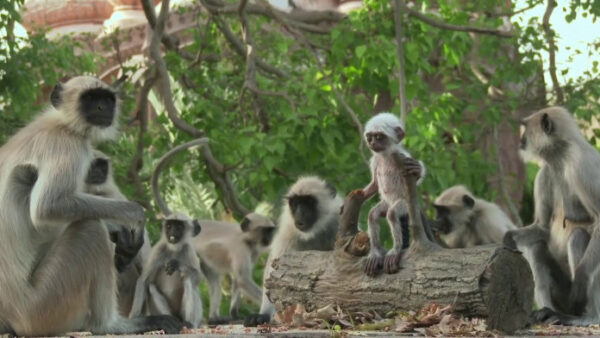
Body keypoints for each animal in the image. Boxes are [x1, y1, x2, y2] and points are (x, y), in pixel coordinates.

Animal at [244, 177, 342, 328]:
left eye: (308, 202)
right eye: (295, 204)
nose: (300, 214)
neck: (313, 233)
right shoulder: (287, 237)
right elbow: (272, 279)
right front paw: (263, 315)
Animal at [360, 112, 426, 276]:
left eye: (379, 137)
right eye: (370, 137)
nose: (372, 143)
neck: (385, 156)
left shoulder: (402, 157)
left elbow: (415, 178)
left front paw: (418, 169)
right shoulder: (375, 160)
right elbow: (375, 184)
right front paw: (362, 195)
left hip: (404, 204)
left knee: (391, 214)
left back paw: (395, 251)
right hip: (386, 203)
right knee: (372, 215)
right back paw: (375, 254)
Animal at [506, 107, 600, 324]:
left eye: (525, 128)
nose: (520, 140)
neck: (561, 158)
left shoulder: (580, 166)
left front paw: (581, 283)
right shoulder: (544, 173)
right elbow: (542, 228)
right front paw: (508, 240)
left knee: (578, 237)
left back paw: (589, 317)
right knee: (537, 247)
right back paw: (545, 311)